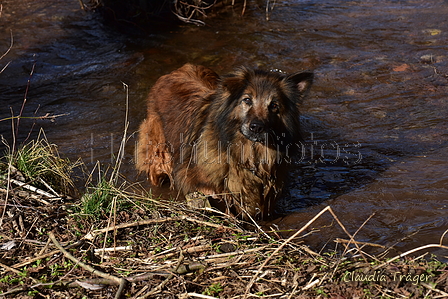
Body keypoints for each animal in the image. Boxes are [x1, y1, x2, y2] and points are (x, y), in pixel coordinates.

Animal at [135, 63, 314, 220]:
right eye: (247, 100)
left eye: (274, 105)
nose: (256, 127)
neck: (247, 154)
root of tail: (174, 72)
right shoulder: (193, 179)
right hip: (159, 157)